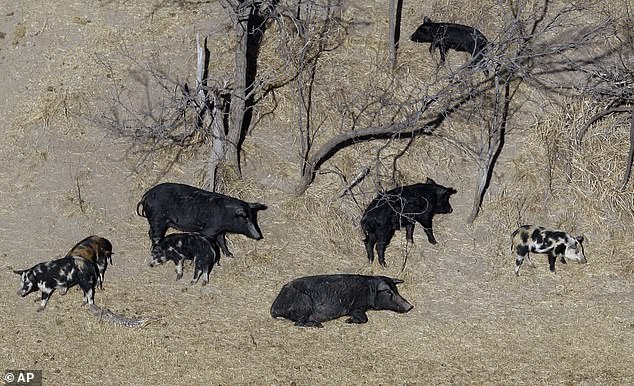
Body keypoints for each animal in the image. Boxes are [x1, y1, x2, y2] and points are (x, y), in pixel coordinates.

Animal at [136, 182, 266, 258]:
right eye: (245, 219)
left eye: (253, 218)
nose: (259, 236)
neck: (227, 215)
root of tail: (145, 196)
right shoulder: (209, 230)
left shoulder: (220, 231)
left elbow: (222, 242)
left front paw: (230, 255)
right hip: (157, 219)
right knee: (155, 235)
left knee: (150, 232)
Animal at [270, 272, 412, 328]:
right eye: (389, 291)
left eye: (396, 290)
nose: (410, 306)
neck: (369, 290)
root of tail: (274, 307)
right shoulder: (356, 306)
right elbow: (365, 319)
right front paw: (348, 321)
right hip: (304, 302)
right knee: (298, 323)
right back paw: (319, 325)